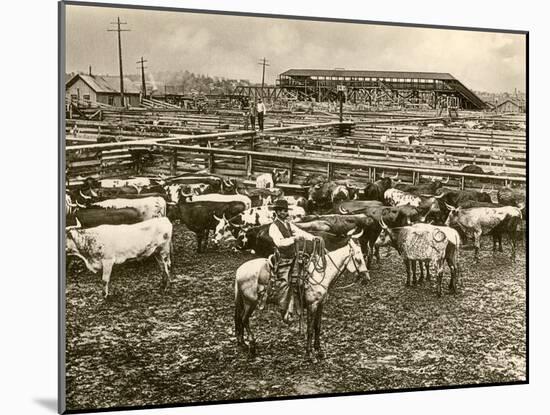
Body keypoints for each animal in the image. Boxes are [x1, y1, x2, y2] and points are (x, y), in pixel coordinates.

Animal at [234, 228, 370, 360]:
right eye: (358, 259)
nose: (366, 279)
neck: (320, 274)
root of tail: (239, 270)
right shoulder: (312, 305)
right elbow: (310, 329)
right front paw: (310, 354)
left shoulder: (320, 304)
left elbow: (317, 327)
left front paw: (319, 351)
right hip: (250, 302)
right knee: (244, 319)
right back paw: (251, 346)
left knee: (240, 319)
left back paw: (243, 343)